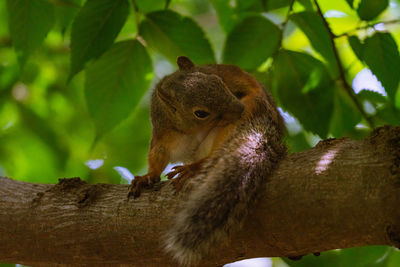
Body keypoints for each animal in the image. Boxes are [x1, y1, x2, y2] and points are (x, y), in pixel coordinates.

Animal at [126, 56, 286, 266]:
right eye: (200, 113)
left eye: (218, 81)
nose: (239, 109)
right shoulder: (163, 134)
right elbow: (157, 156)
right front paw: (147, 177)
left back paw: (195, 167)